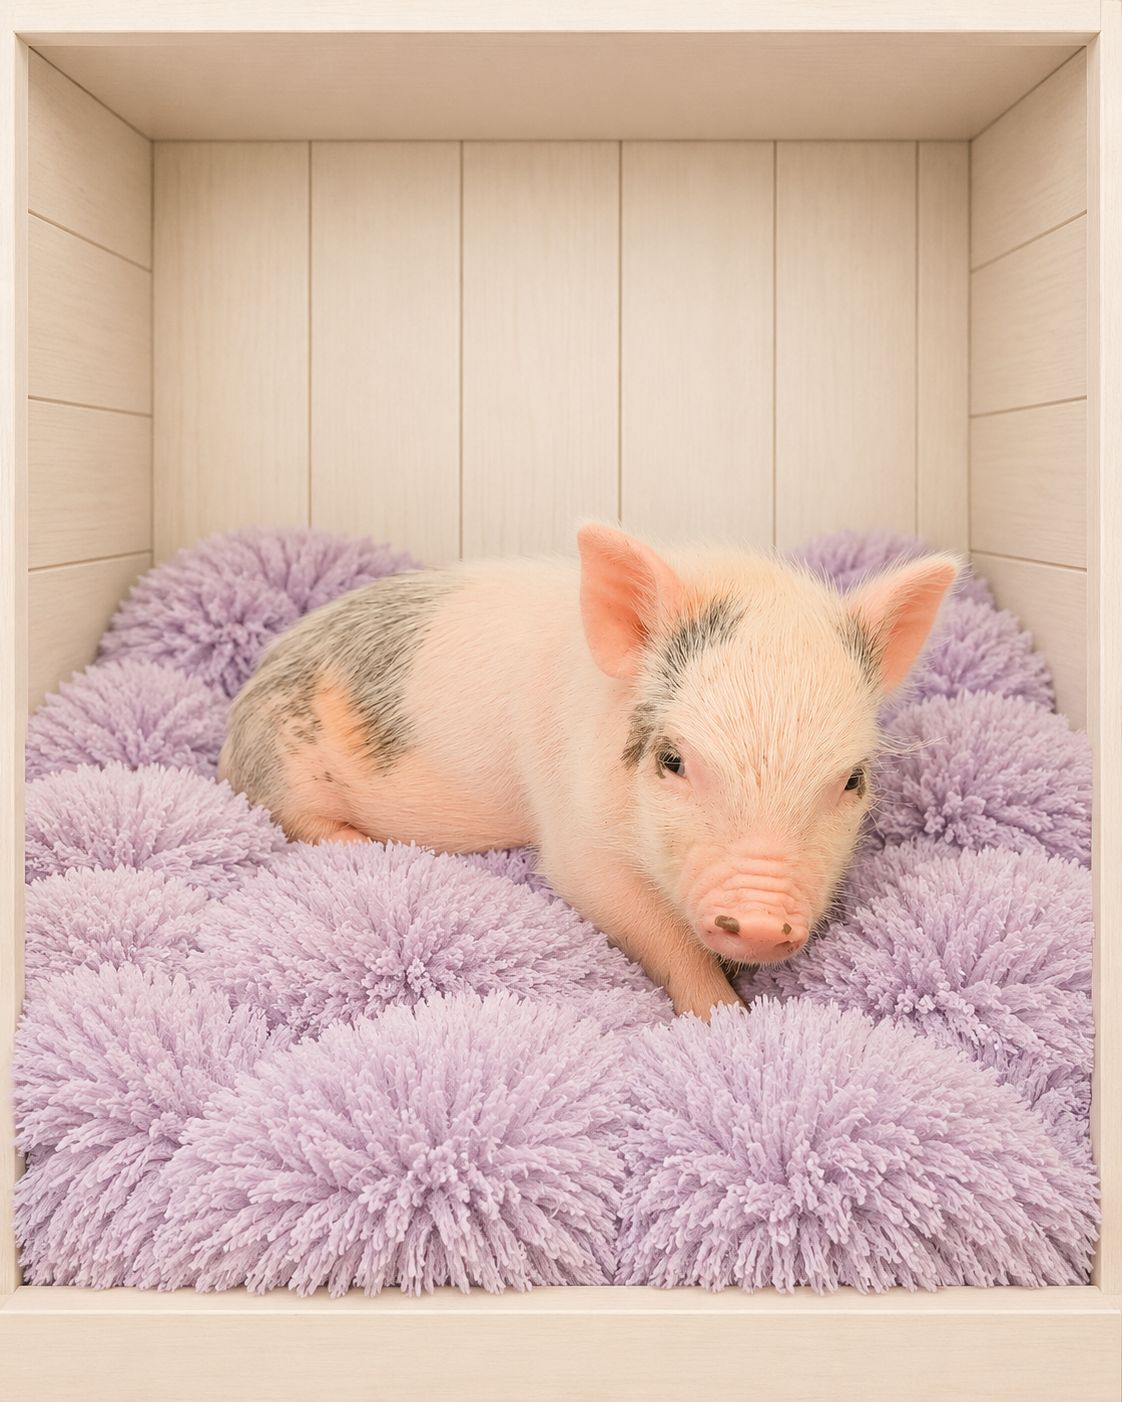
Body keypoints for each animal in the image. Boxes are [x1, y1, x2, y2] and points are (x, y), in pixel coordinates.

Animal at [219, 525, 957, 1019]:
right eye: (672, 761)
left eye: (853, 780)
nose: (758, 920)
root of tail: (250, 692)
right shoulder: (573, 831)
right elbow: (648, 923)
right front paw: (726, 1016)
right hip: (279, 761)